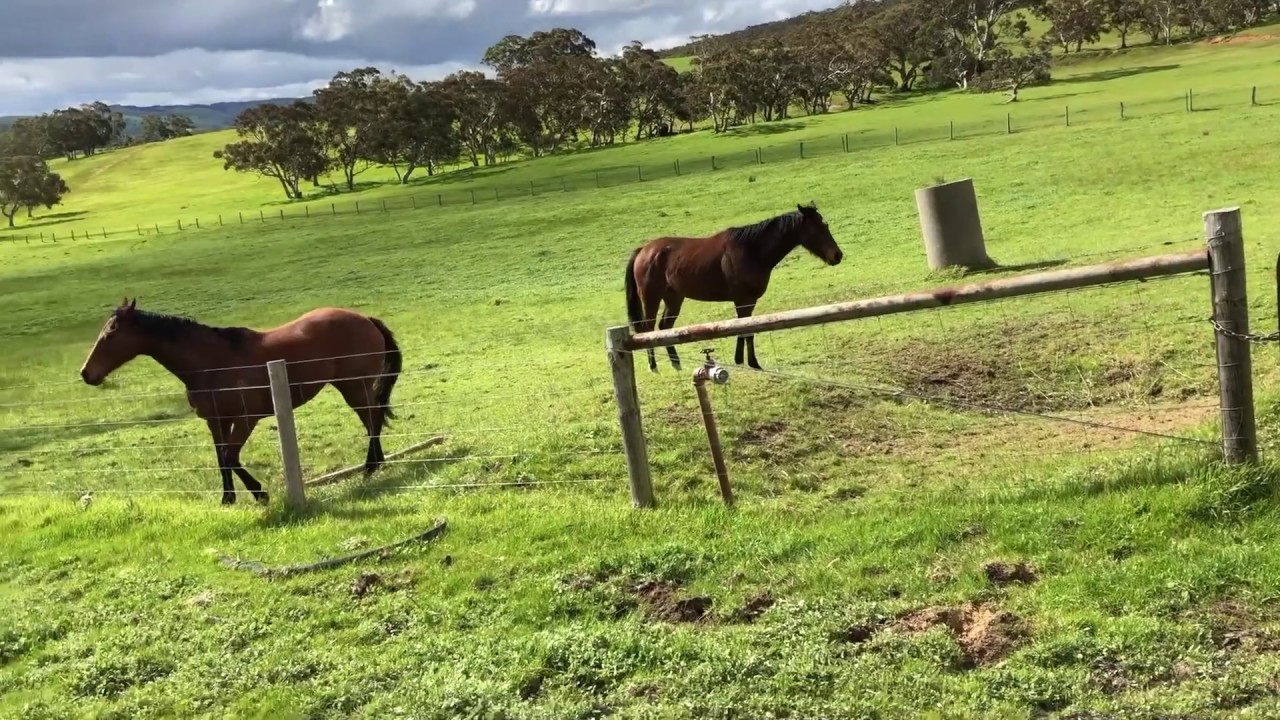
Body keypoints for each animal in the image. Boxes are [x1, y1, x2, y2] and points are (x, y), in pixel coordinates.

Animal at [78, 299, 403, 505]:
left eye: (111, 333)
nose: (86, 373)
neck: (211, 362)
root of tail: (366, 319)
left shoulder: (246, 419)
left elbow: (231, 456)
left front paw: (259, 493)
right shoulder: (216, 421)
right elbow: (222, 459)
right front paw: (228, 498)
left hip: (354, 386)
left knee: (372, 419)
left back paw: (371, 467)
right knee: (372, 419)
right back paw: (375, 464)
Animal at [624, 202, 844, 373]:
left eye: (825, 224)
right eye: (816, 228)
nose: (837, 255)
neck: (752, 250)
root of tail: (644, 250)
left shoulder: (749, 301)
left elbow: (745, 329)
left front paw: (745, 361)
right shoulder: (743, 300)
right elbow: (745, 330)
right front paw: (749, 362)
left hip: (674, 298)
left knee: (665, 327)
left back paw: (676, 363)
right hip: (651, 297)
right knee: (649, 329)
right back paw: (653, 366)